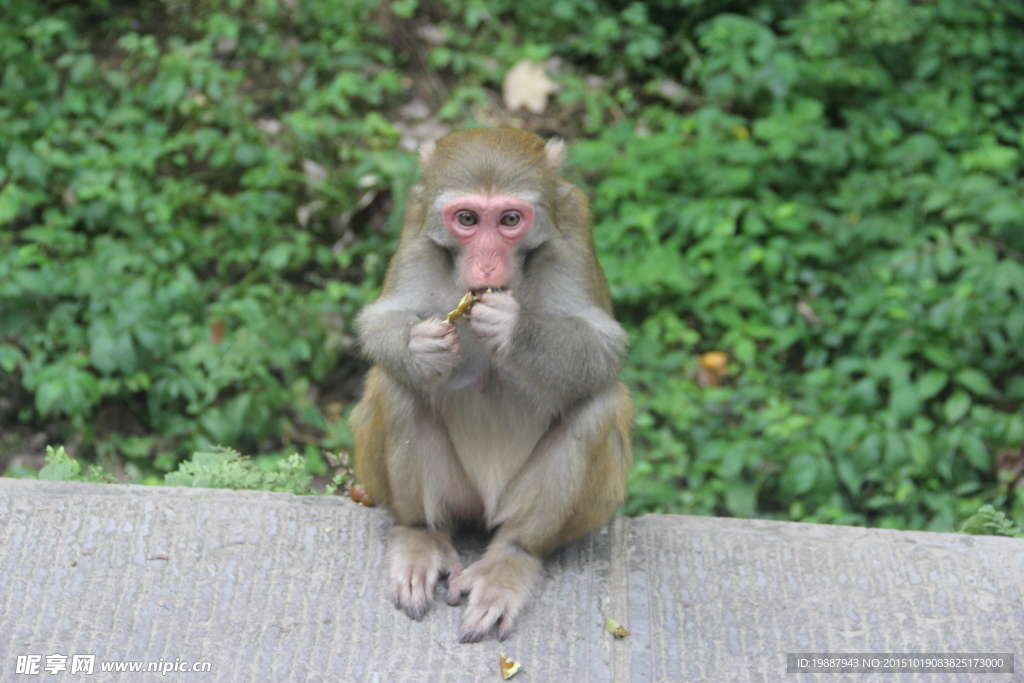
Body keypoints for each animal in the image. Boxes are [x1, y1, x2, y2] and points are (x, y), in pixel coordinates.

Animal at [352, 127, 630, 647]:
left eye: (509, 220)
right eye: (466, 219)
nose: (485, 268)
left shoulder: (572, 232)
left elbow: (603, 348)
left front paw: (512, 329)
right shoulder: (416, 230)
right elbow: (381, 320)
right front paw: (419, 345)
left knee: (599, 406)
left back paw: (511, 559)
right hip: (454, 492)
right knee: (396, 386)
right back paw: (420, 536)